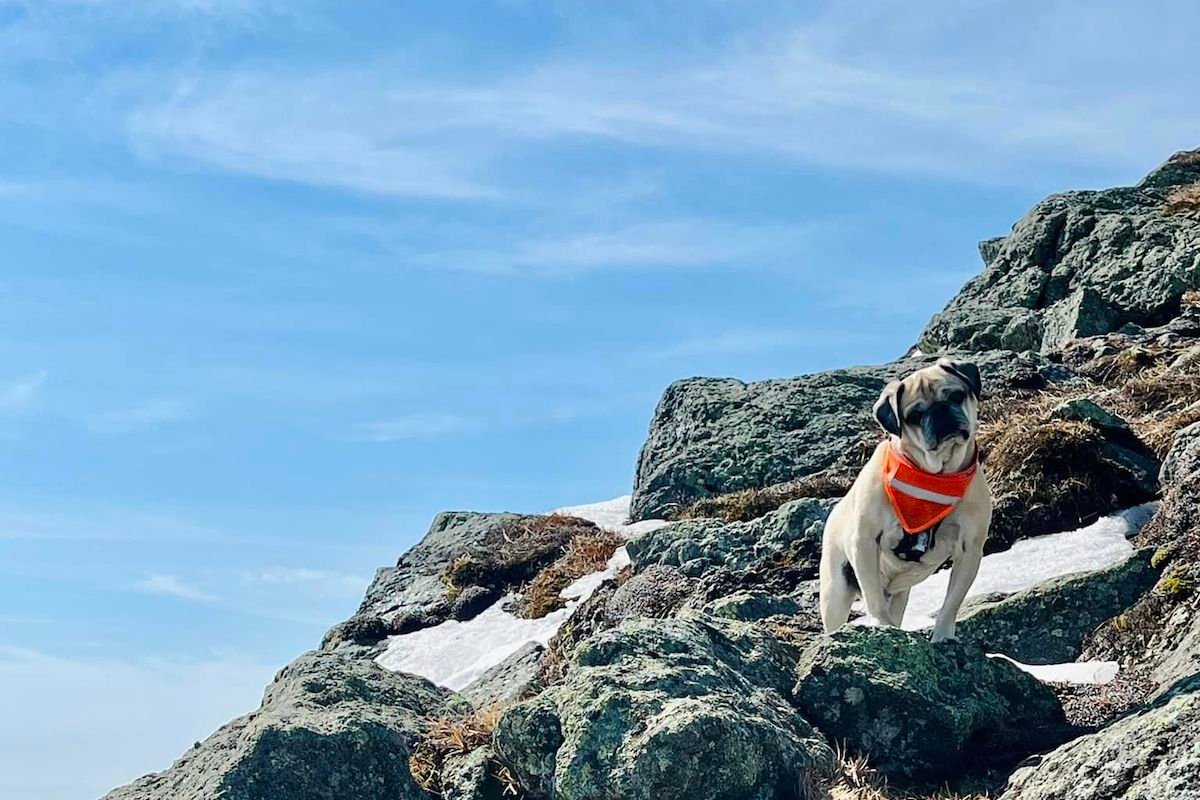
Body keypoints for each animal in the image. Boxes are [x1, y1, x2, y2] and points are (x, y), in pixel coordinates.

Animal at [820, 357, 988, 642]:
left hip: (899, 595)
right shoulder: (865, 541)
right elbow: (873, 598)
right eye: (915, 416)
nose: (940, 412)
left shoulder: (970, 550)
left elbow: (951, 603)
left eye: (956, 396)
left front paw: (943, 636)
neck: (934, 476)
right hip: (835, 593)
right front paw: (881, 624)